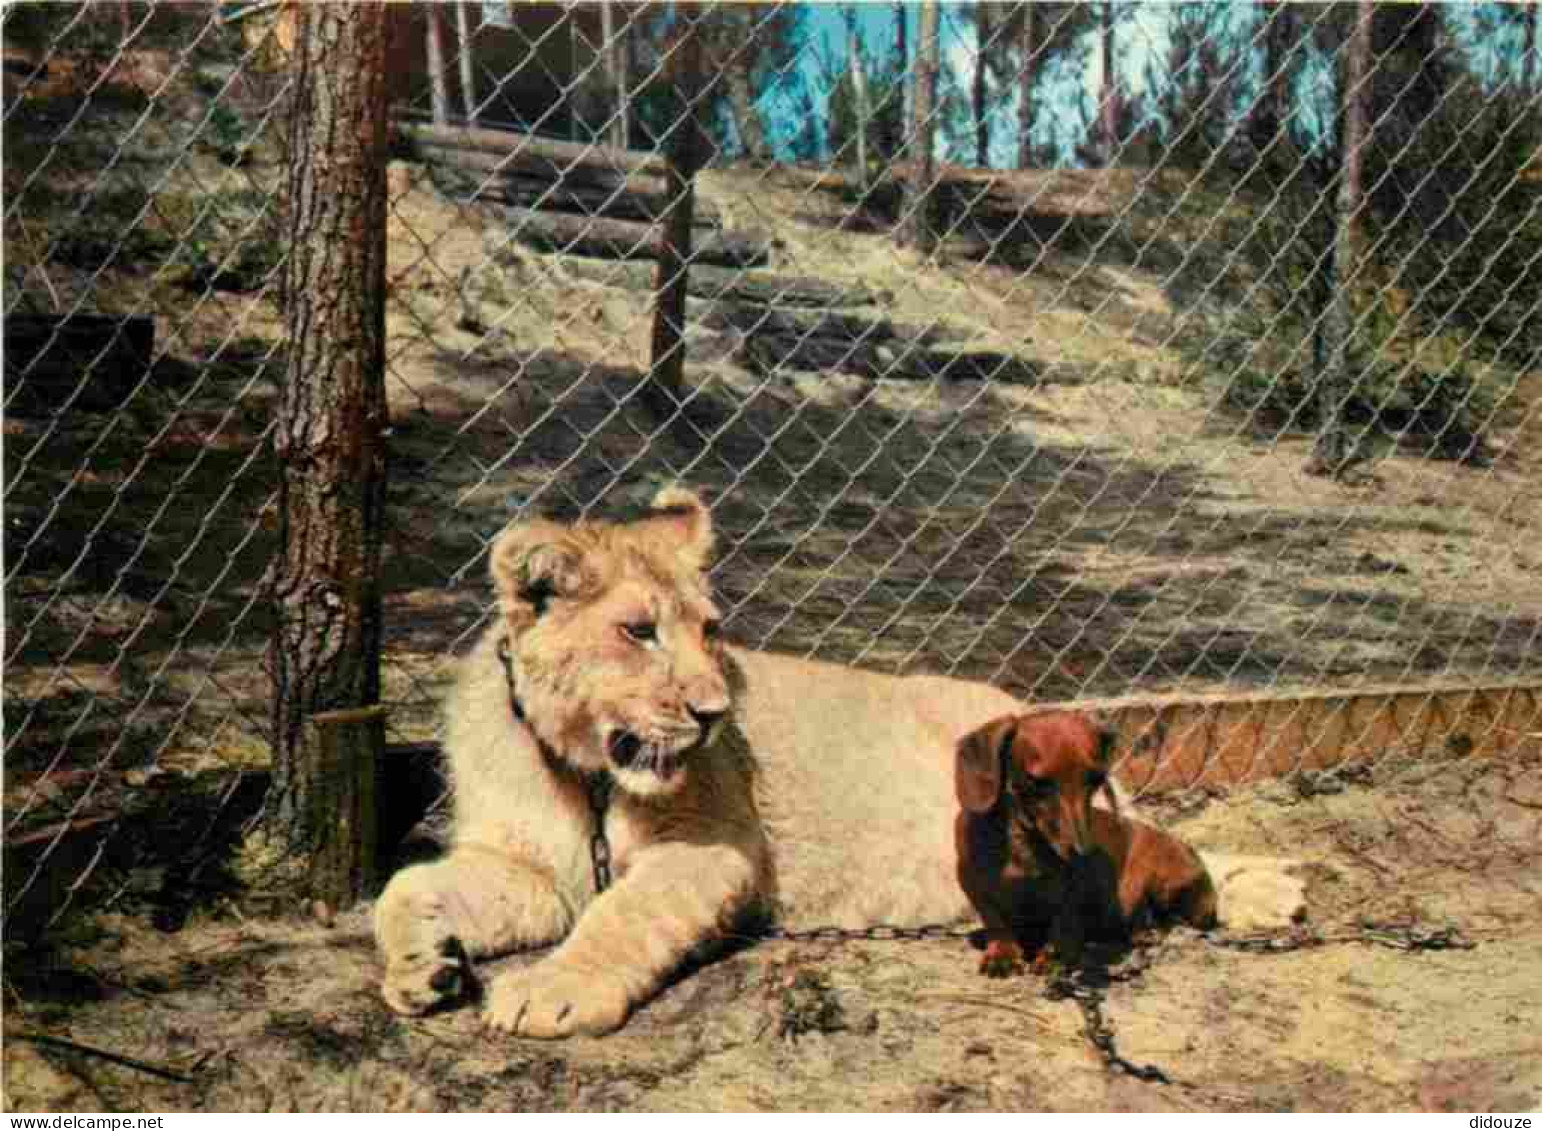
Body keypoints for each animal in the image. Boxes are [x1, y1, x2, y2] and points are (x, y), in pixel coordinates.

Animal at [373, 484, 1301, 1030]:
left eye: (710, 630)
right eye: (638, 631)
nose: (714, 713)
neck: (580, 772)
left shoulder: (717, 849)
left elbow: (620, 915)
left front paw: (552, 988)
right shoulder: (535, 871)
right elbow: (404, 887)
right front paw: (424, 969)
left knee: (1151, 842)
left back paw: (1269, 892)